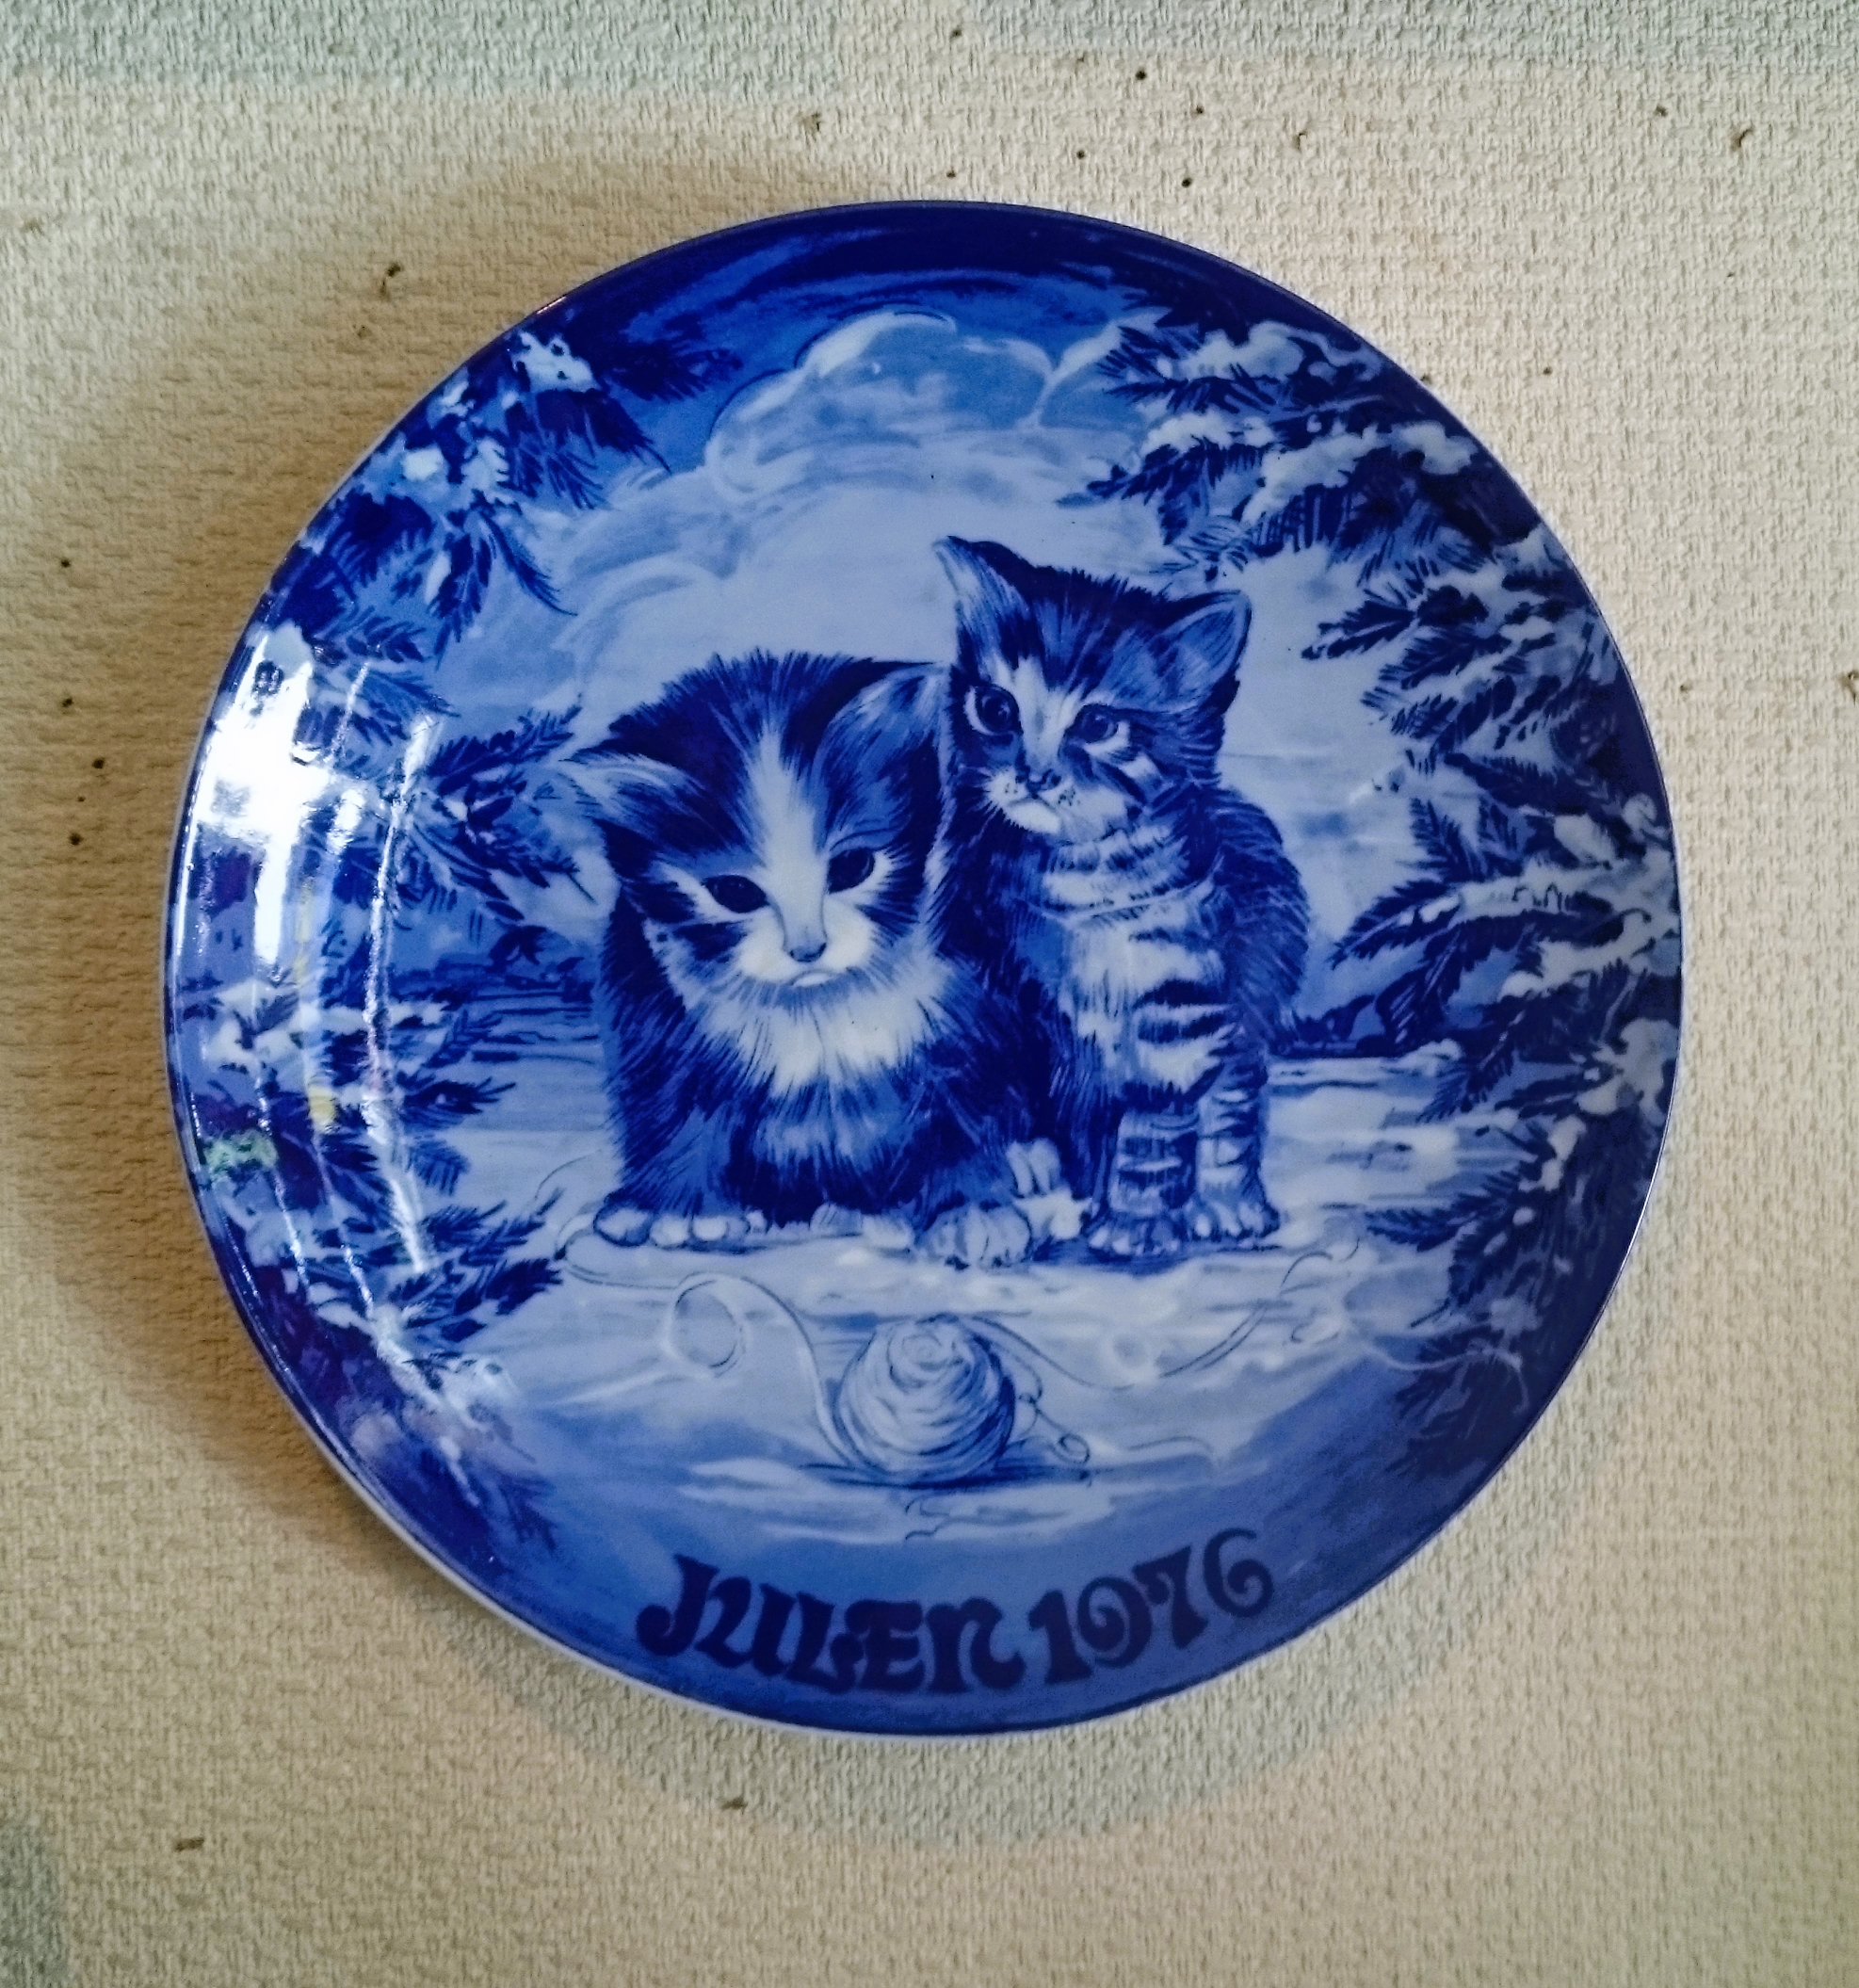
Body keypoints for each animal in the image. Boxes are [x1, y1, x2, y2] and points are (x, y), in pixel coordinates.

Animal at [576, 649, 1047, 1266]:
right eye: (735, 893)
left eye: (852, 867)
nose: (807, 948)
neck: (818, 1007)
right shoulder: (651, 999)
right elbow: (672, 1105)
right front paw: (672, 1207)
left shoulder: (971, 995)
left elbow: (962, 1105)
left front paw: (970, 1209)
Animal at [934, 538, 1308, 1261]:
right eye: (996, 710)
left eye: (1099, 724)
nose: (1033, 775)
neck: (1077, 882)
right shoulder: (994, 985)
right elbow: (1003, 1085)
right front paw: (1020, 1161)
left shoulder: (1182, 1009)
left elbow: (1158, 1122)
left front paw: (1136, 1220)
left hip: (1250, 992)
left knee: (1233, 1103)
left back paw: (1227, 1203)